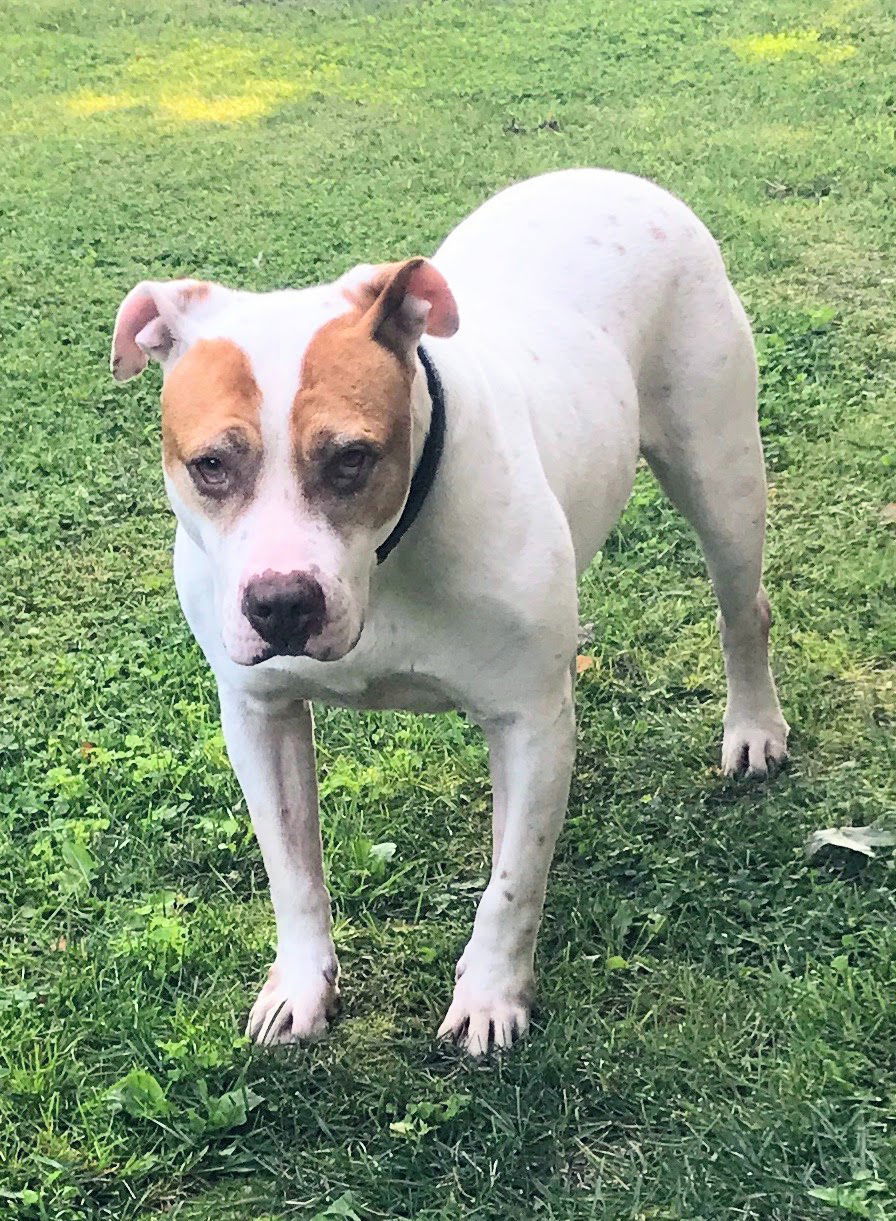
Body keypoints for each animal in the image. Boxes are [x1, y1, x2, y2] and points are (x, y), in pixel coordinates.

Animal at [110, 167, 786, 1054]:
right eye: (211, 465)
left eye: (352, 458)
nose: (282, 602)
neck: (387, 561)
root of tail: (610, 177)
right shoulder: (259, 714)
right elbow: (293, 869)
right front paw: (301, 985)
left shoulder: (529, 716)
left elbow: (514, 882)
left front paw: (492, 994)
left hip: (721, 476)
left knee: (744, 610)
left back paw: (754, 728)